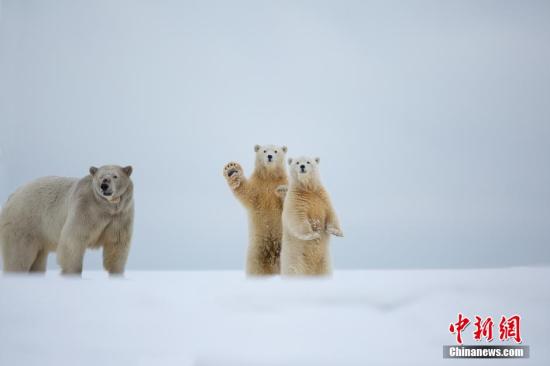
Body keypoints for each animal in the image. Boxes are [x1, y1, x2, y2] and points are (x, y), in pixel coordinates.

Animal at [0, 166, 135, 274]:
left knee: (38, 259)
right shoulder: (84, 209)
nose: (104, 185)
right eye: (101, 177)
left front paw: (116, 272)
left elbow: (116, 244)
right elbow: (73, 240)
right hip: (25, 223)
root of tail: (12, 195)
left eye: (115, 176)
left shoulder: (120, 216)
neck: (105, 208)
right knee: (19, 255)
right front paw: (72, 272)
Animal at [225, 144, 292, 276]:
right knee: (255, 266)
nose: (270, 156)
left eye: (276, 151)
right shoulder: (258, 187)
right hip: (257, 250)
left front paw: (283, 191)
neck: (269, 177)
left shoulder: (283, 181)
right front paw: (232, 170)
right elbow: (246, 192)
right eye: (264, 151)